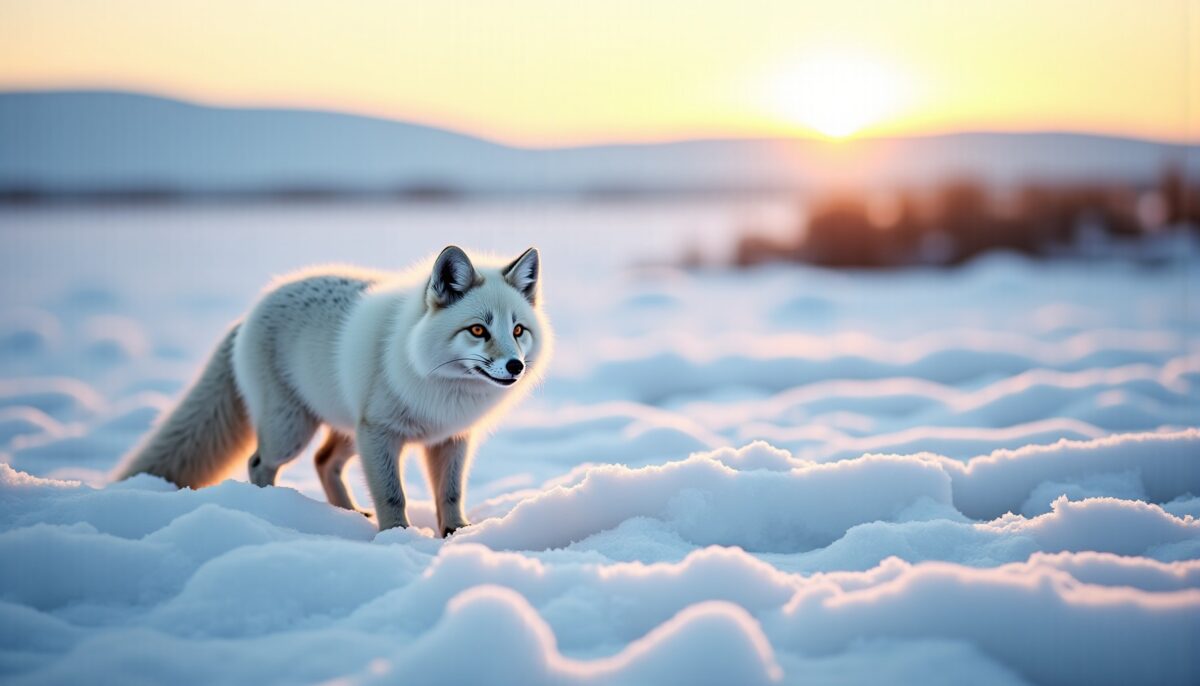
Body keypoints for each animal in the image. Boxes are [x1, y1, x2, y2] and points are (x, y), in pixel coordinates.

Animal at [115, 245, 550, 536]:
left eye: (517, 330)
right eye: (477, 329)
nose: (515, 366)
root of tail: (250, 313)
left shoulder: (451, 438)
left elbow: (450, 494)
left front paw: (456, 535)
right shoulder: (381, 432)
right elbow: (393, 496)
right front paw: (397, 538)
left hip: (346, 431)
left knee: (323, 462)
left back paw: (349, 514)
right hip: (293, 431)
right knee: (259, 463)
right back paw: (272, 512)